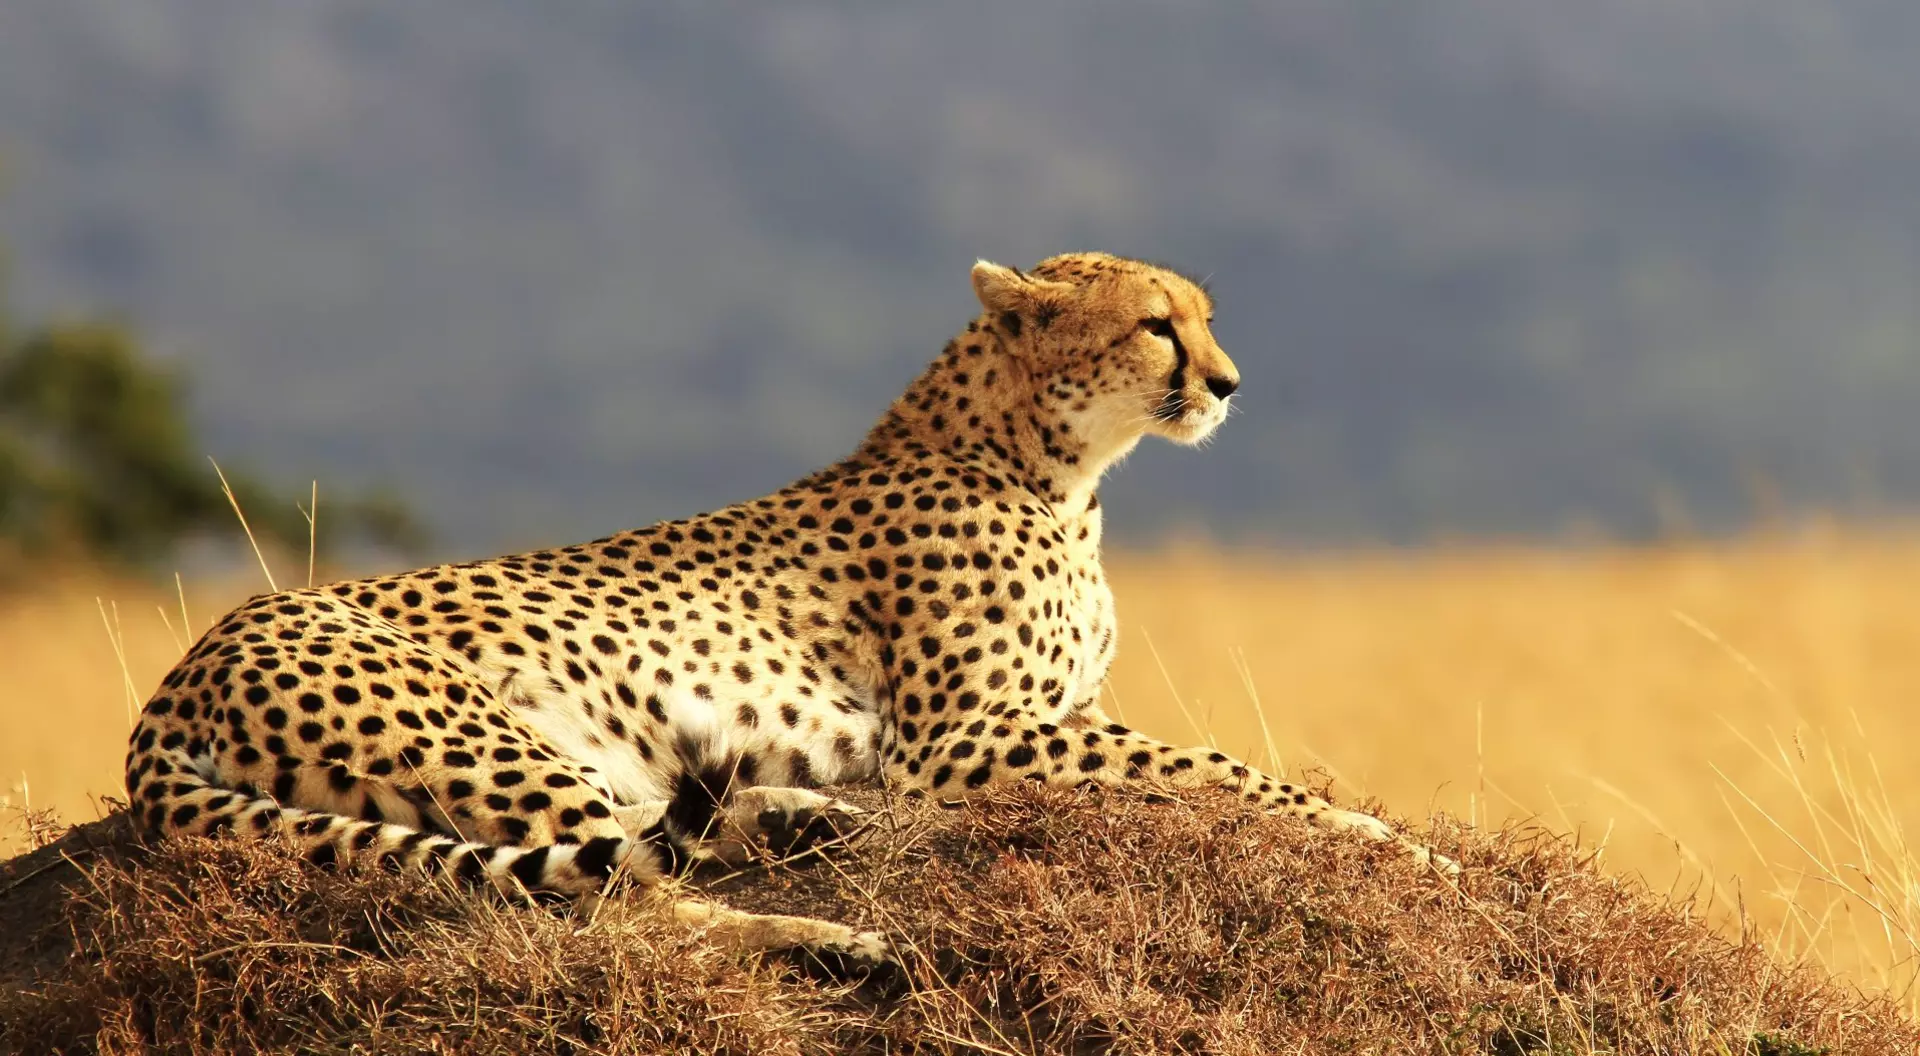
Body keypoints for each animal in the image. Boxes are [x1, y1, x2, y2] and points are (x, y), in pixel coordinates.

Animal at [124, 252, 1450, 975]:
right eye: (1156, 325)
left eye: (1206, 318)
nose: (1228, 383)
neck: (1052, 465)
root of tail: (182, 670)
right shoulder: (964, 742)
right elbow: (1219, 768)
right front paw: (1393, 842)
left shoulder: (1041, 719)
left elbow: (1205, 764)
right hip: (478, 735)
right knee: (613, 905)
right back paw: (828, 934)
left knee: (647, 835)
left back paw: (807, 823)